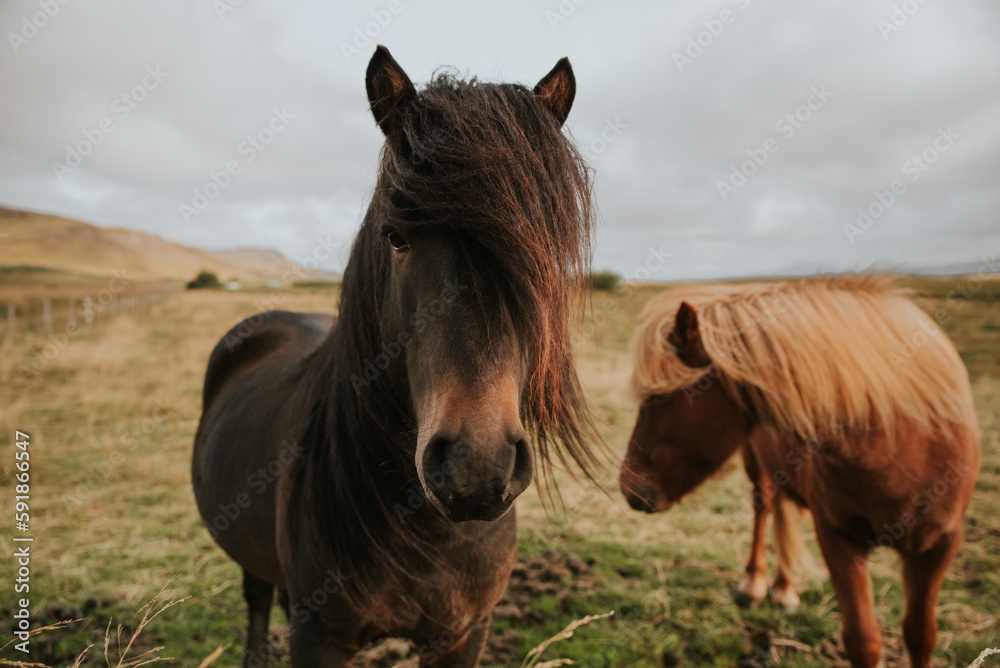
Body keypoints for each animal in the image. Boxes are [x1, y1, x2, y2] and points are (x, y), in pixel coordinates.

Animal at [191, 46, 601, 667]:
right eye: (396, 236)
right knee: (257, 601)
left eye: (546, 250)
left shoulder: (463, 633)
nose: (475, 467)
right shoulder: (319, 636)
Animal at [618, 277, 980, 668]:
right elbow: (863, 640)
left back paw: (784, 588)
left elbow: (921, 634)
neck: (901, 446)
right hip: (756, 466)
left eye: (656, 396)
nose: (627, 487)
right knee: (763, 509)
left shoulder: (941, 544)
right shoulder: (838, 539)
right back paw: (755, 585)